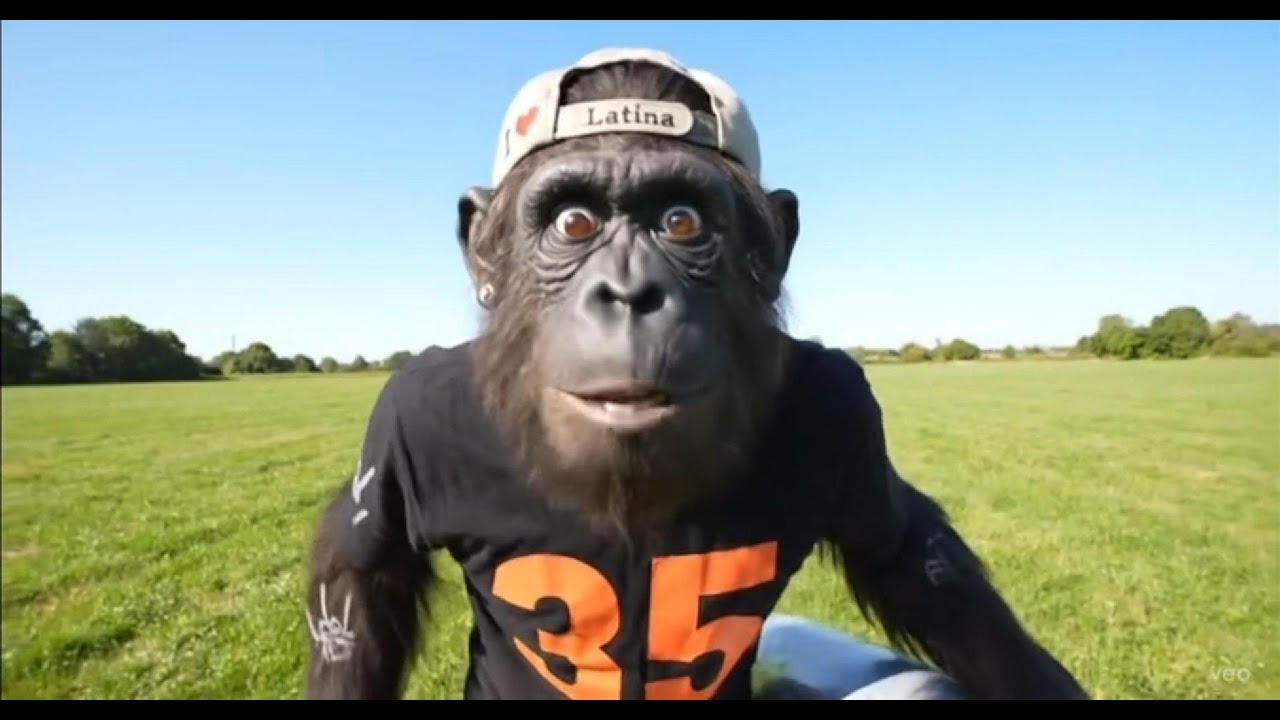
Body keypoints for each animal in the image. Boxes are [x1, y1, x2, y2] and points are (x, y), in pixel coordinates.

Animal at [302, 47, 1089, 701]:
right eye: (574, 223)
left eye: (680, 222)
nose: (629, 292)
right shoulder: (407, 419)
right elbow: (362, 577)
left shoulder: (844, 406)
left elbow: (911, 557)